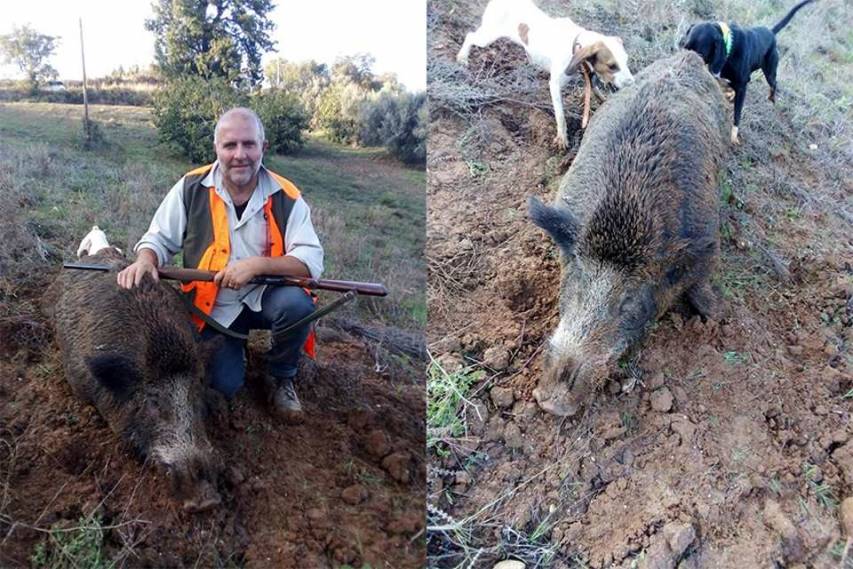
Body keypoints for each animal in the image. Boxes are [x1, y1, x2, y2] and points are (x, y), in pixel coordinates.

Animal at [460, 0, 632, 149]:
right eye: (612, 66)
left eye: (626, 61)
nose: (631, 83)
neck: (575, 45)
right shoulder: (554, 85)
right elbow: (561, 116)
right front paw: (562, 138)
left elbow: (595, 91)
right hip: (487, 36)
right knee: (469, 36)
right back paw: (462, 58)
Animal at [684, 0, 816, 144]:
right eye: (685, 48)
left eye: (700, 54)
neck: (729, 45)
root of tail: (770, 33)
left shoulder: (741, 85)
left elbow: (737, 113)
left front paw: (734, 136)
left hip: (769, 72)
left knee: (774, 84)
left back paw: (771, 99)